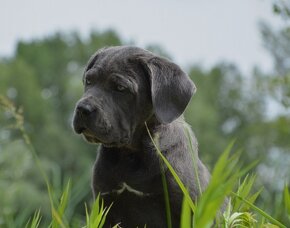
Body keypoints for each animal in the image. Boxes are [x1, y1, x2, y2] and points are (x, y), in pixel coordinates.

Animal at [71, 45, 210, 226]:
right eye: (89, 81)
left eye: (120, 88)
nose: (83, 108)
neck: (130, 153)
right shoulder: (105, 204)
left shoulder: (187, 206)